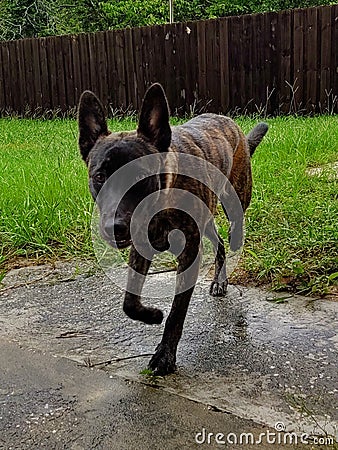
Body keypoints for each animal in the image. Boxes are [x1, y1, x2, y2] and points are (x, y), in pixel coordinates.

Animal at [78, 82, 268, 374]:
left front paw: (165, 355)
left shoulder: (189, 254)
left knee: (235, 225)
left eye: (140, 177)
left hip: (235, 194)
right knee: (219, 243)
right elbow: (129, 302)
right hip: (207, 219)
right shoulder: (141, 248)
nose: (114, 227)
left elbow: (177, 311)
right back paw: (219, 280)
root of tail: (227, 121)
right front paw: (151, 315)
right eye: (100, 176)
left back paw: (233, 244)